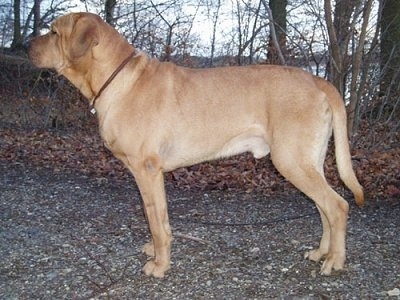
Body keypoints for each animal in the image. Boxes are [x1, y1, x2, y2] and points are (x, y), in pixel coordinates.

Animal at [29, 12, 364, 278]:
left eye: (54, 32)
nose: (27, 46)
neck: (117, 79)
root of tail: (319, 81)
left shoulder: (146, 170)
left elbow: (155, 221)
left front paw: (160, 265)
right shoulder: (151, 174)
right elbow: (160, 220)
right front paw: (157, 252)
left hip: (291, 160)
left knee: (337, 206)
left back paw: (335, 260)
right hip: (307, 162)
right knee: (323, 208)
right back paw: (321, 252)